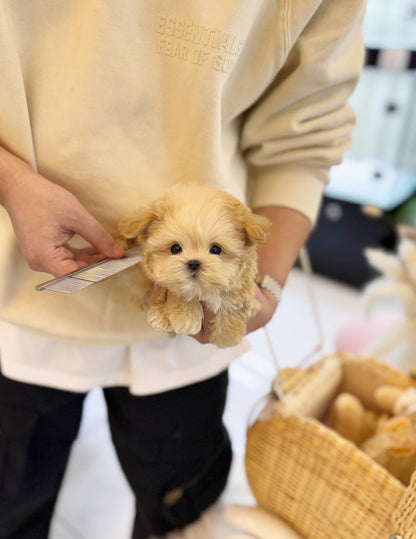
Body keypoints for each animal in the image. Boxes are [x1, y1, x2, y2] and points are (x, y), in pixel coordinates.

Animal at [118, 184, 272, 348]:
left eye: (216, 249)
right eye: (175, 249)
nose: (193, 263)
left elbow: (235, 300)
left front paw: (227, 334)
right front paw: (183, 318)